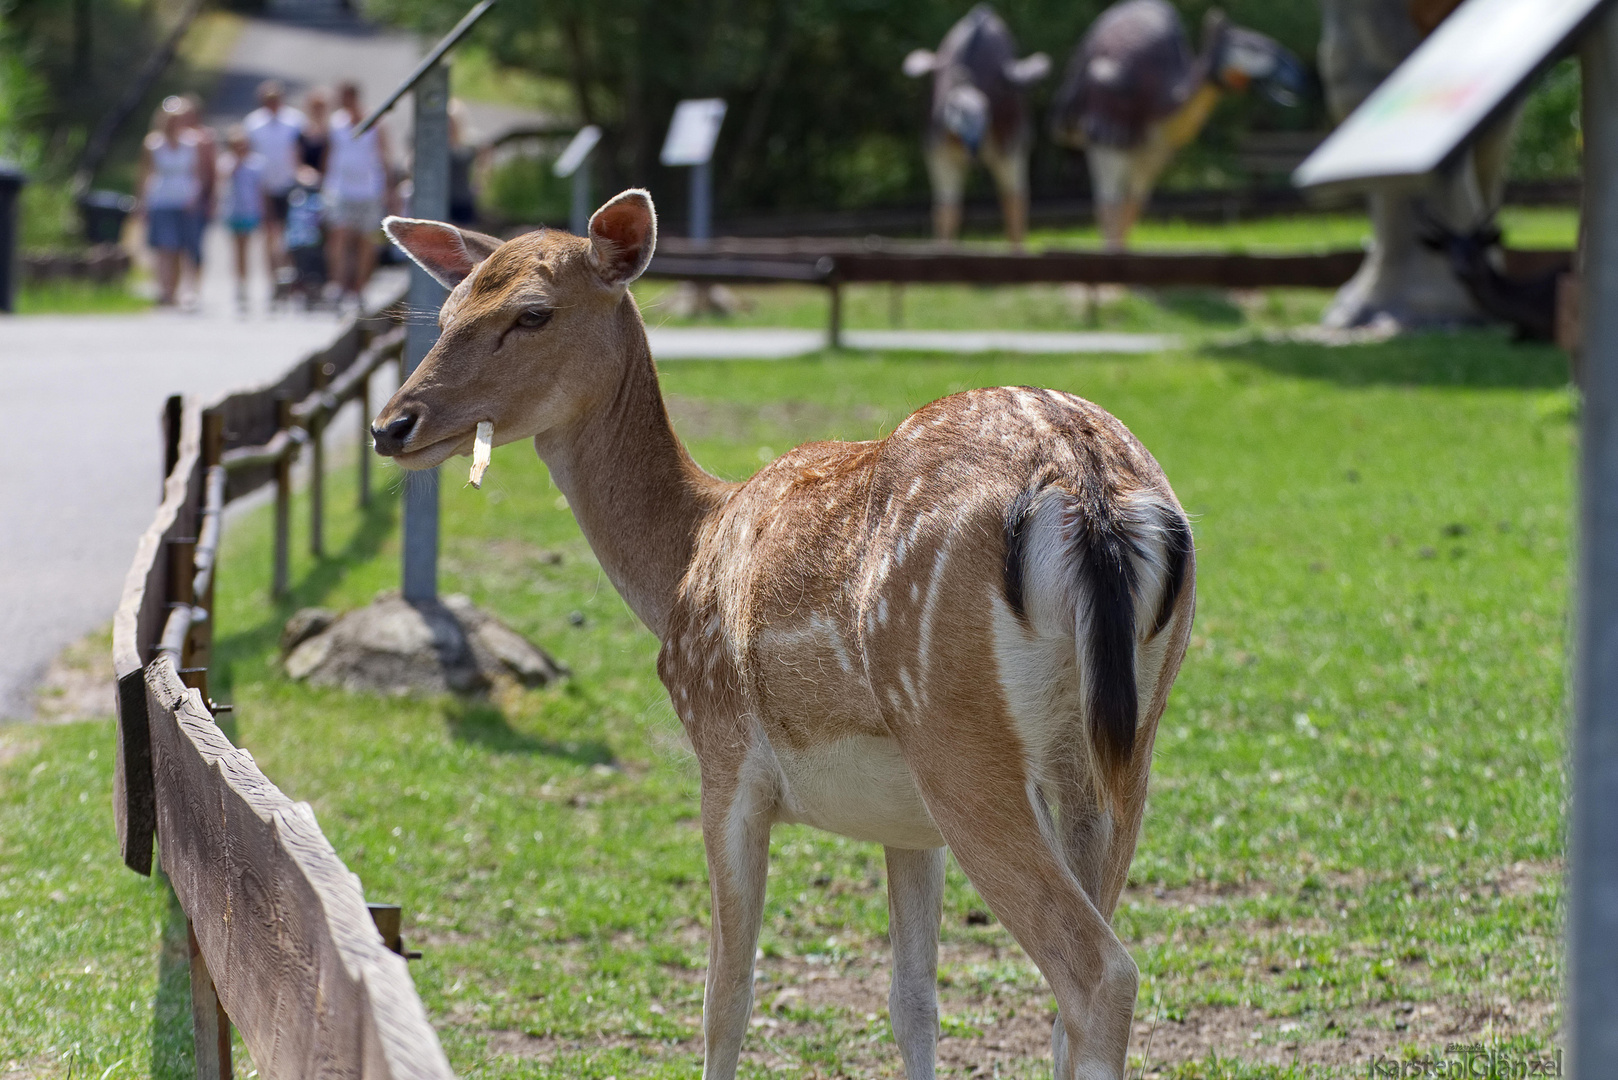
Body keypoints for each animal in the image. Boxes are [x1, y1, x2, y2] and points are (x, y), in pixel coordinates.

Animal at [372, 190, 1197, 1080]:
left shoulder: (725, 757)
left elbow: (724, 996)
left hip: (958, 738)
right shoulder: (907, 822)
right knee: (1071, 990)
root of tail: (1082, 484)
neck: (684, 558)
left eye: (532, 313)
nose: (392, 424)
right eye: (447, 310)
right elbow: (912, 1001)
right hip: (1122, 751)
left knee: (1099, 970)